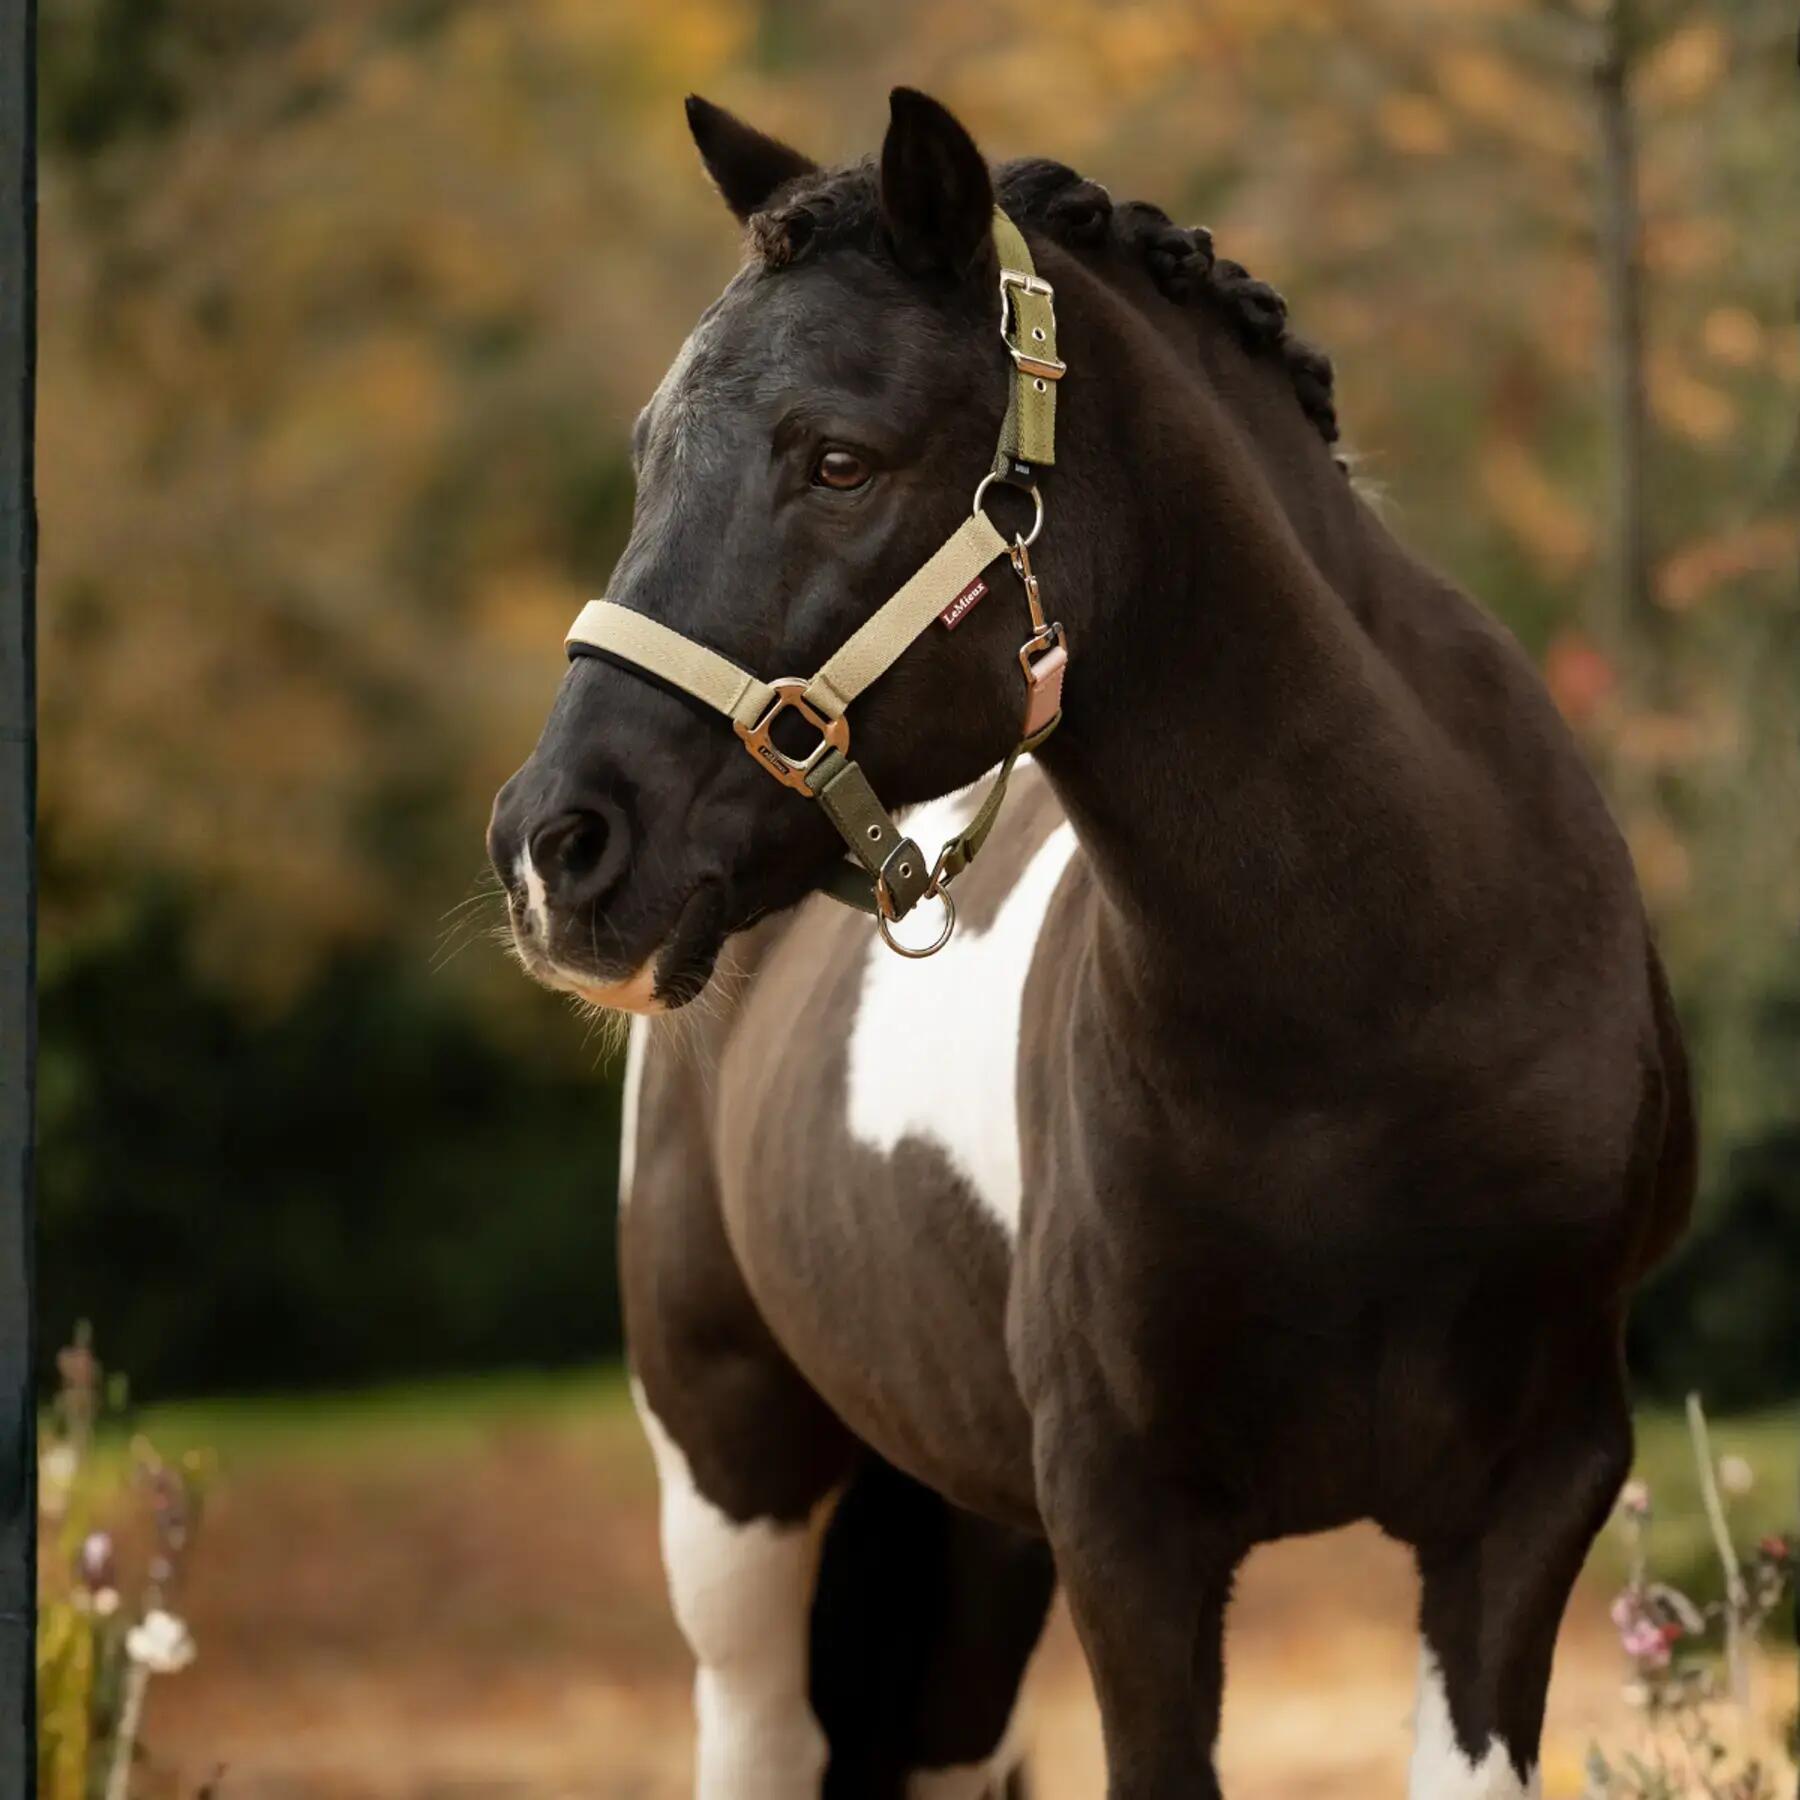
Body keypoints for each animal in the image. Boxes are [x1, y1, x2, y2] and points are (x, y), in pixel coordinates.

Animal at [487, 88, 1695, 1799]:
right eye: (654, 454)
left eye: (839, 459)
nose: (552, 846)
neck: (1384, 1014)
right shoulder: (1132, 1532)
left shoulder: (1530, 1502)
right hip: (734, 1486)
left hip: (972, 1532)